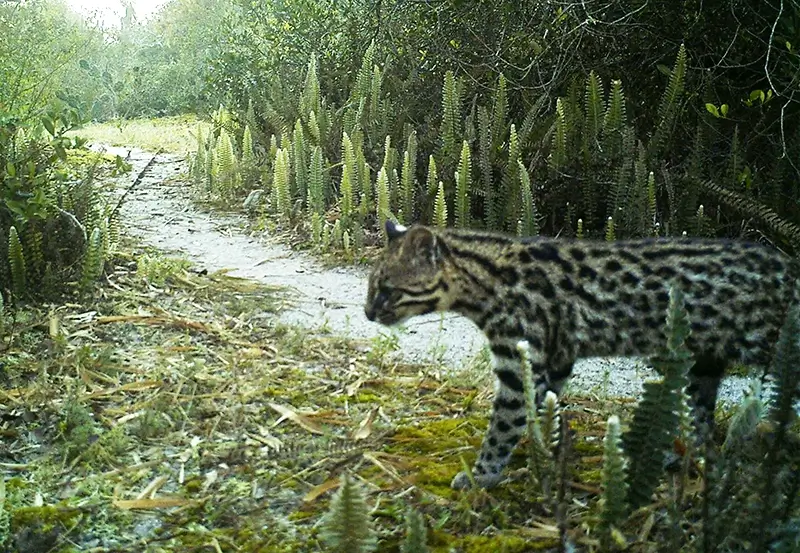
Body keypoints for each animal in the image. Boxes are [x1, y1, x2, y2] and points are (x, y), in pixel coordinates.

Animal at [364, 220, 800, 488]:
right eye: (372, 287)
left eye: (387, 289)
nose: (367, 313)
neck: (485, 275)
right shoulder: (556, 359)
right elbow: (546, 409)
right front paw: (545, 451)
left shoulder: (519, 363)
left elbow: (504, 425)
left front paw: (482, 474)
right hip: (704, 363)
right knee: (701, 418)